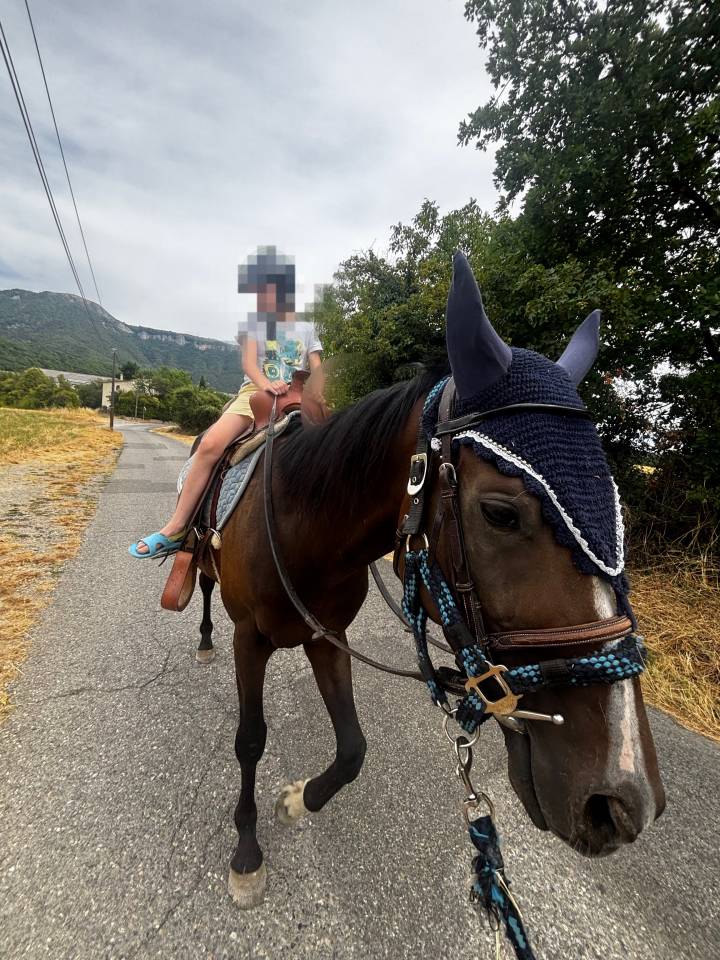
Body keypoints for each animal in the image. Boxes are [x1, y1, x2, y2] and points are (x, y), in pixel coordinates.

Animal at [194, 252, 665, 912]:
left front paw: (298, 800)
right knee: (204, 590)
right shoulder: (251, 640)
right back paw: (199, 628)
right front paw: (246, 853)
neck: (295, 522)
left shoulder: (326, 636)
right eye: (501, 513)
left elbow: (353, 749)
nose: (623, 800)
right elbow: (250, 740)